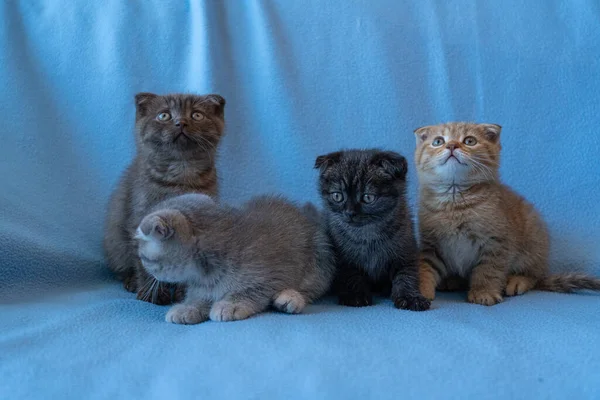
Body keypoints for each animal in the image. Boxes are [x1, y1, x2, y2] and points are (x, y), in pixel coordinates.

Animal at [103, 92, 225, 304]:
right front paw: (152, 294)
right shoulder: (141, 217)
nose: (181, 122)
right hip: (115, 243)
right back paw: (132, 281)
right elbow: (145, 259)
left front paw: (184, 293)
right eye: (164, 116)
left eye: (197, 115)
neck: (181, 174)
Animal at [133, 192, 336, 324]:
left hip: (320, 255)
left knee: (312, 288)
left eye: (144, 258)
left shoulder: (270, 274)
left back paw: (291, 298)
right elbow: (199, 297)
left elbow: (250, 291)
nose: (152, 276)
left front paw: (230, 304)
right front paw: (188, 307)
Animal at [316, 148, 428, 310]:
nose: (349, 212)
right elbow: (351, 276)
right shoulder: (344, 260)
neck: (368, 234)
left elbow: (407, 274)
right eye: (337, 196)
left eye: (368, 198)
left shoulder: (407, 250)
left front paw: (410, 297)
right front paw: (355, 295)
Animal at [412, 122, 600, 306]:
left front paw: (484, 292)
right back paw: (451, 280)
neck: (455, 201)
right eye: (438, 141)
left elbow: (488, 270)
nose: (451, 145)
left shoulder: (497, 242)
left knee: (533, 275)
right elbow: (425, 267)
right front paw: (420, 291)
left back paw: (517, 281)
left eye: (470, 141)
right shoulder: (432, 245)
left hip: (533, 240)